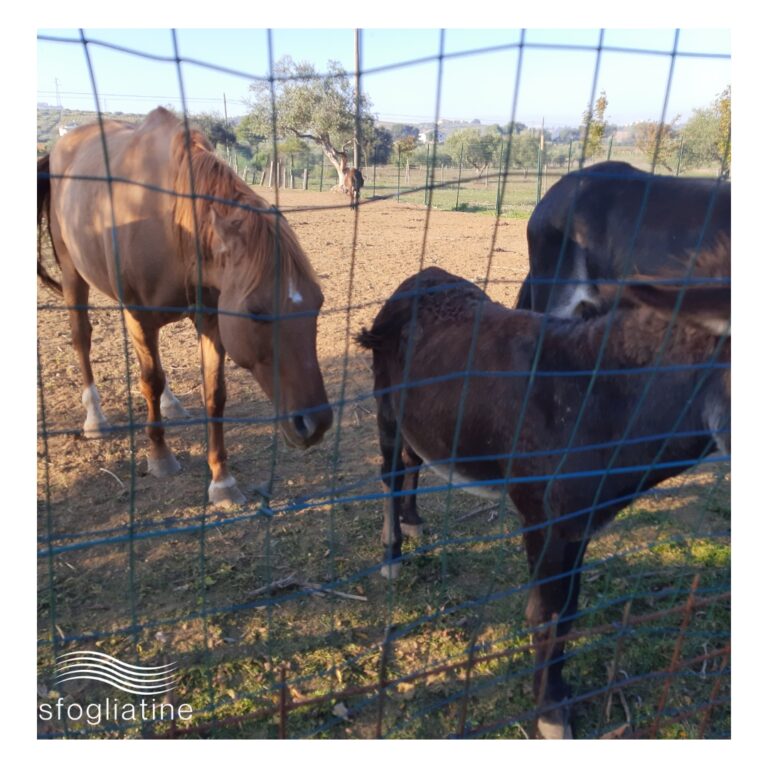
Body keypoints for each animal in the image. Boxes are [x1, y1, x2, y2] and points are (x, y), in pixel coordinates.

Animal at [38, 106, 332, 504]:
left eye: (318, 303)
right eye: (256, 311)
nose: (316, 423)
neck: (170, 218)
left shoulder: (211, 321)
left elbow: (214, 394)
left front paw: (222, 480)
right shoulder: (140, 316)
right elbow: (150, 380)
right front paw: (160, 456)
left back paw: (171, 404)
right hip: (73, 274)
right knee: (82, 338)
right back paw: (95, 418)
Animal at [356, 262, 728, 736]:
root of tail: (421, 276)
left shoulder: (578, 522)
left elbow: (567, 611)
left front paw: (562, 695)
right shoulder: (540, 514)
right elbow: (545, 615)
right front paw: (550, 717)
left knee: (412, 458)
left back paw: (414, 520)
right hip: (384, 401)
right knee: (391, 469)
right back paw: (392, 553)